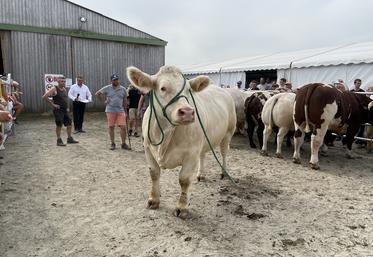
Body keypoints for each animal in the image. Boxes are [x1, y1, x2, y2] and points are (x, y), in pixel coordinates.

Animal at [125, 65, 235, 217]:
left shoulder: (191, 154)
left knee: (224, 153)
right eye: (163, 88)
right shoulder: (147, 148)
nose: (188, 112)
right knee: (203, 155)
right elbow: (154, 174)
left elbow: (184, 180)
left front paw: (182, 207)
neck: (165, 132)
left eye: (189, 90)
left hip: (228, 133)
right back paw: (201, 174)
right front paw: (153, 200)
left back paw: (224, 172)